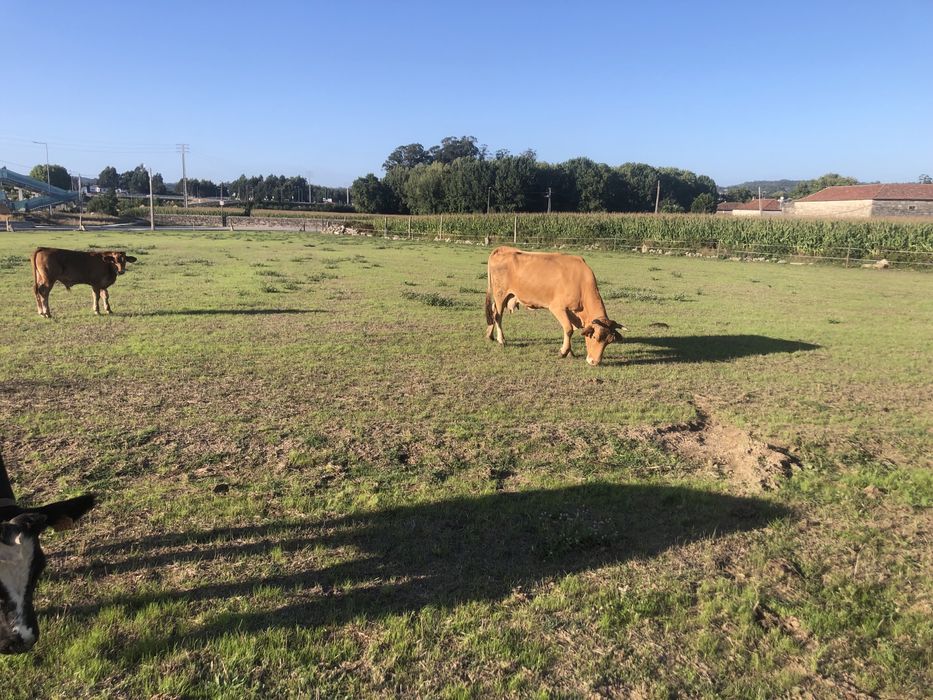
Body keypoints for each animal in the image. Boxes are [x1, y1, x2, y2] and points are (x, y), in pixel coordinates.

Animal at [485, 246, 627, 366]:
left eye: (609, 341)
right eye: (594, 337)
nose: (594, 362)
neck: (581, 283)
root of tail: (502, 249)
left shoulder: (572, 313)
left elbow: (569, 330)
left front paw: (570, 352)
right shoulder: (557, 308)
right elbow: (568, 329)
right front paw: (563, 352)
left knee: (492, 311)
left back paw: (489, 336)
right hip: (500, 294)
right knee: (498, 316)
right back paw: (501, 340)